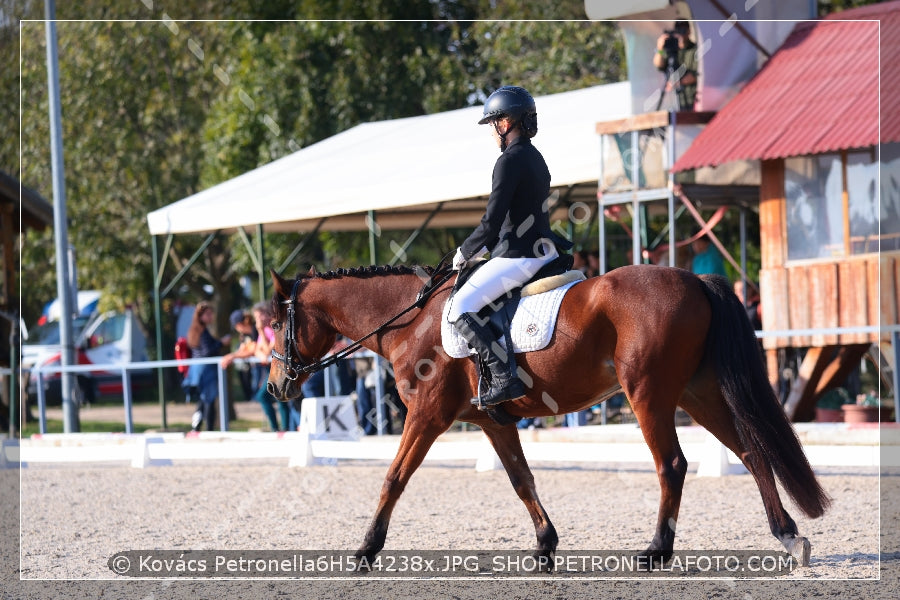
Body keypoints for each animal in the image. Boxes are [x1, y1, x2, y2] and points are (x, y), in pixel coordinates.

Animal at [266, 262, 828, 568]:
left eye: (275, 323)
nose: (275, 387)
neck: (412, 320)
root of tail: (692, 279)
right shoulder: (492, 421)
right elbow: (521, 480)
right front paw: (545, 546)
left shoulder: (426, 416)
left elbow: (394, 477)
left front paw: (365, 549)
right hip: (698, 393)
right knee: (752, 450)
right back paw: (787, 536)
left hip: (648, 394)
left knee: (672, 465)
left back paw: (656, 550)